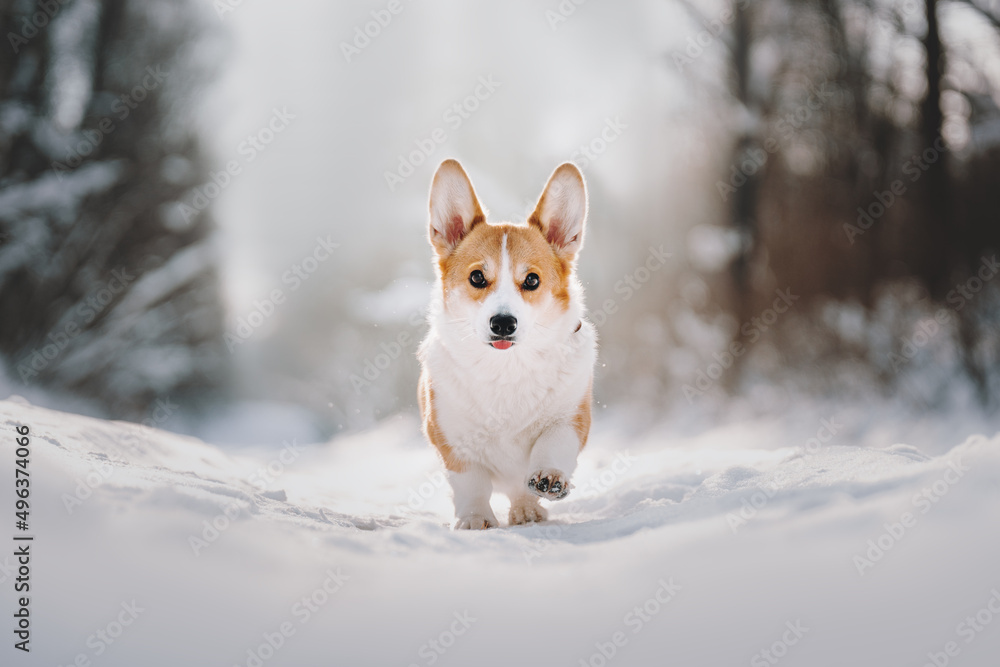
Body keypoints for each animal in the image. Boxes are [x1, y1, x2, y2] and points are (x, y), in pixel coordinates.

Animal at [418, 159, 596, 528]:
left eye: (532, 280)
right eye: (476, 277)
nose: (503, 323)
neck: (506, 368)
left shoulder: (571, 418)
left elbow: (553, 445)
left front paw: (548, 479)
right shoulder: (451, 439)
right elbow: (471, 483)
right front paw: (475, 519)